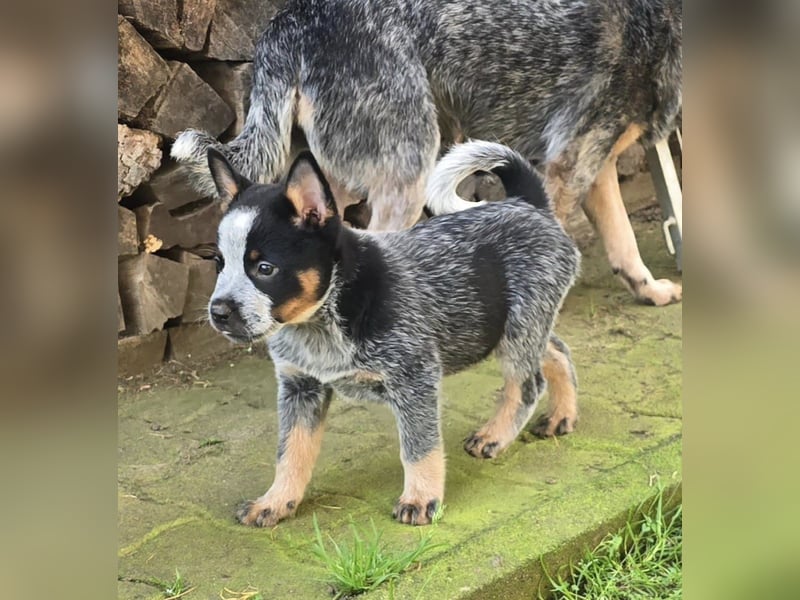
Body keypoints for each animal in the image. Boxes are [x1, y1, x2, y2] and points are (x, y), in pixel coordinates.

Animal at [172, 0, 684, 308]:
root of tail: (289, 19)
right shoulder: (569, 163)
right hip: (410, 170)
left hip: (325, 182)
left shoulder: (597, 164)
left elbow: (625, 243)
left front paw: (650, 290)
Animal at [206, 141, 580, 524]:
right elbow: (291, 451)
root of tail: (527, 204)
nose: (218, 312)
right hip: (518, 327)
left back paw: (495, 435)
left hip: (518, 327)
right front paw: (276, 501)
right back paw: (561, 415)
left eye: (265, 268)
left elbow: (418, 447)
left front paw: (420, 498)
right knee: (556, 351)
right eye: (219, 263)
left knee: (528, 383)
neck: (326, 318)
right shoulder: (300, 387)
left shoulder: (414, 378)